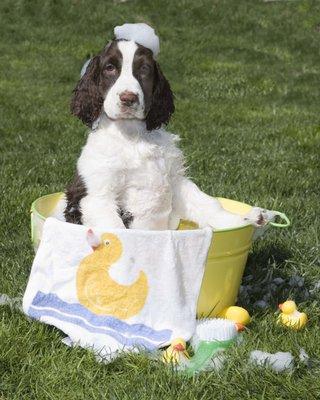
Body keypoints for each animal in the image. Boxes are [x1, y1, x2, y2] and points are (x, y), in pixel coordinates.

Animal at [58, 37, 268, 233]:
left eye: (144, 68)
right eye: (109, 68)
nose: (128, 98)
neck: (132, 136)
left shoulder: (175, 180)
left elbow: (207, 203)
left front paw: (244, 220)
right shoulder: (96, 195)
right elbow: (116, 228)